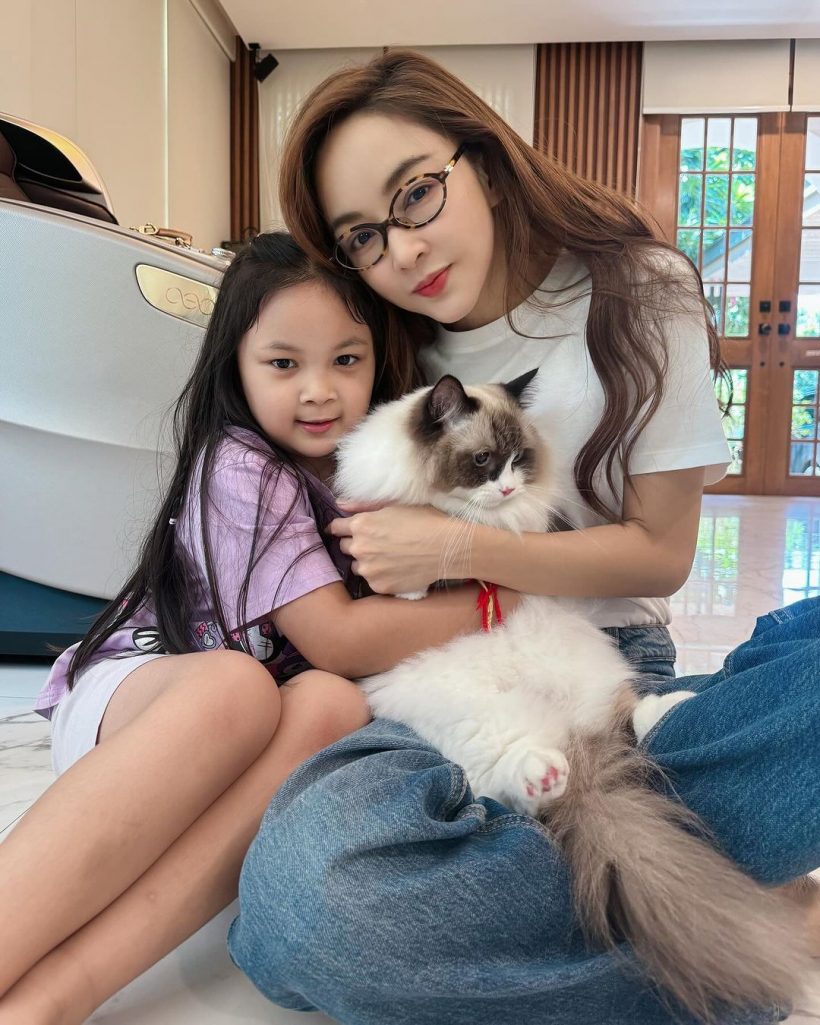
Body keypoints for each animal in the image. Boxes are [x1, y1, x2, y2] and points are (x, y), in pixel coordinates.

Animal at [333, 369, 808, 1021]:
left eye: (519, 460)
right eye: (483, 461)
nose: (507, 487)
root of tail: (569, 741)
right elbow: (412, 575)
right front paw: (415, 585)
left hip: (587, 675)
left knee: (630, 719)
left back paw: (669, 709)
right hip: (477, 723)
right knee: (520, 785)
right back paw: (546, 774)